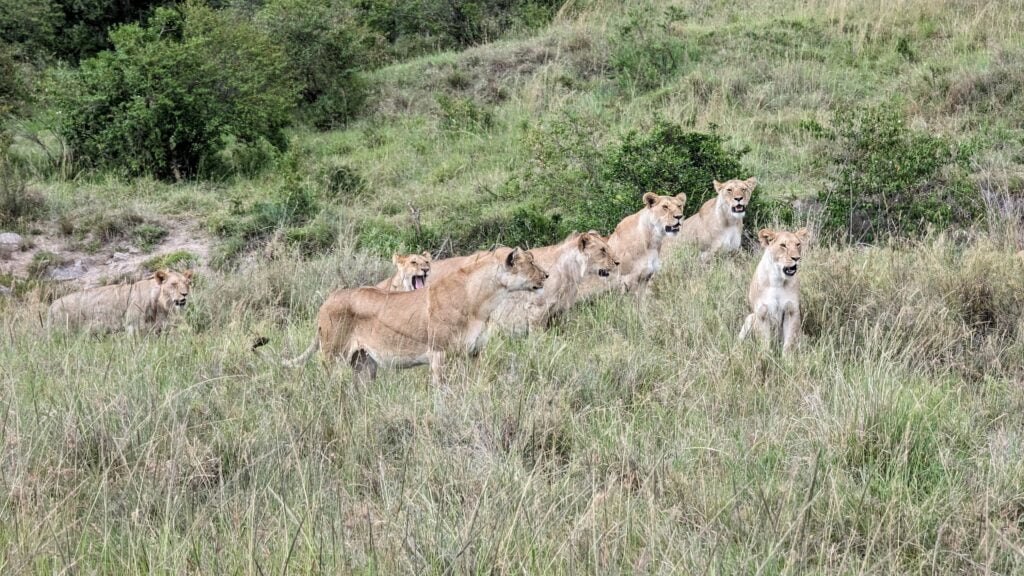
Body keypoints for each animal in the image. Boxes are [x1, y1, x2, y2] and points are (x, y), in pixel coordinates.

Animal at [47, 270, 193, 336]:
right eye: (173, 284)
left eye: (187, 283)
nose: (185, 294)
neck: (159, 302)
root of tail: (52, 305)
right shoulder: (132, 325)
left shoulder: (159, 324)